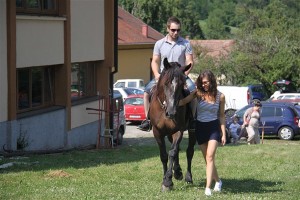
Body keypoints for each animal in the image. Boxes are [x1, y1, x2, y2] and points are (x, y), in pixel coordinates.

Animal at [149, 57, 197, 191]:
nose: (171, 112)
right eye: (166, 83)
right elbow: (164, 155)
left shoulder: (178, 131)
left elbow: (172, 152)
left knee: (189, 152)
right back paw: (177, 171)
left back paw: (187, 177)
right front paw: (166, 178)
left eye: (181, 84)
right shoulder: (157, 132)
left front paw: (168, 181)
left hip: (191, 131)